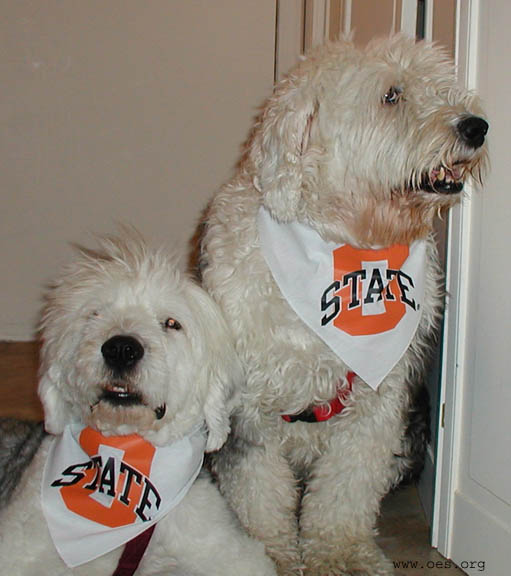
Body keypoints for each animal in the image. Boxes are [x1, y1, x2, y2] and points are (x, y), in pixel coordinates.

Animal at [199, 37, 488, 576]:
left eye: (442, 85)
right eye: (392, 95)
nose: (477, 126)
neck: (345, 244)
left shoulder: (380, 399)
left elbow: (347, 488)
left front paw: (342, 553)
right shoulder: (248, 406)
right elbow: (257, 490)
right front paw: (268, 554)